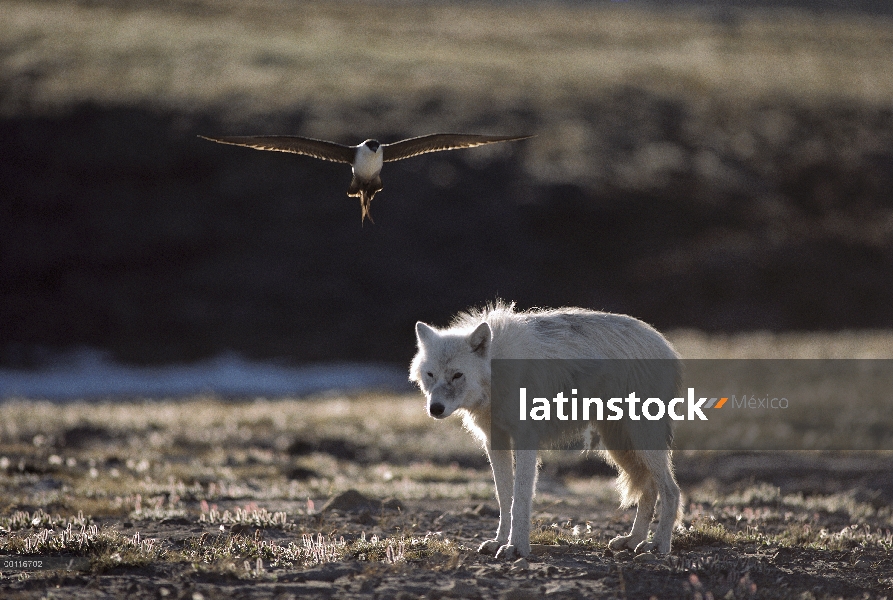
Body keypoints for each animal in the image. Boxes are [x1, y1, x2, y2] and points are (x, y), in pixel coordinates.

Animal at [412, 302, 684, 560]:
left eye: (457, 375)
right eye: (430, 374)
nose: (435, 409)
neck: (498, 372)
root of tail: (665, 344)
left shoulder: (525, 440)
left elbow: (520, 498)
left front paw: (516, 547)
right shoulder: (495, 441)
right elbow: (504, 498)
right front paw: (499, 542)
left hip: (639, 441)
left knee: (671, 491)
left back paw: (658, 544)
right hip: (617, 445)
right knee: (649, 489)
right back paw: (633, 540)